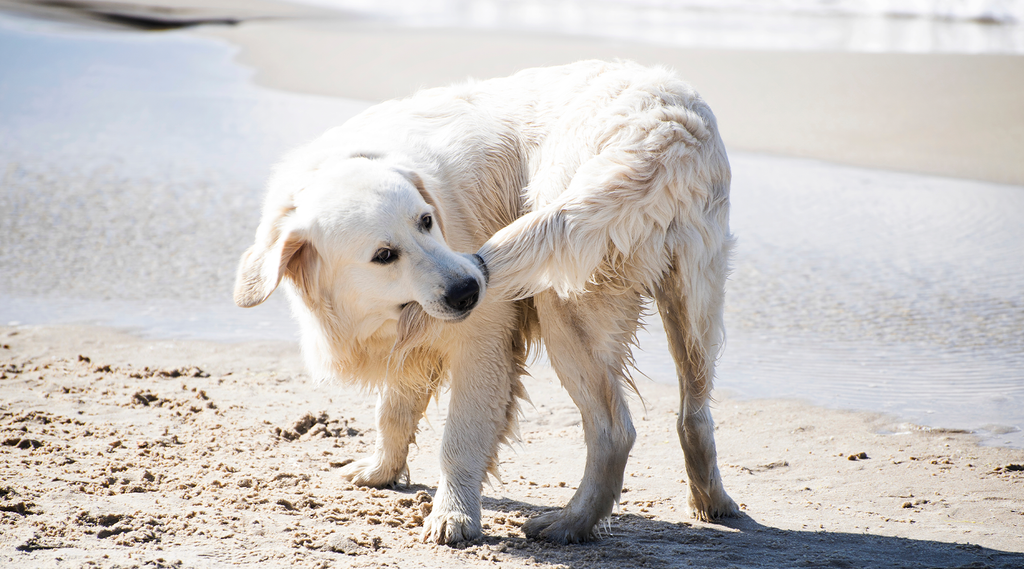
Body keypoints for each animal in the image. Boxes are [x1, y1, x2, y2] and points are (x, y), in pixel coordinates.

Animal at [236, 60, 741, 544]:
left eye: (426, 221)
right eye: (384, 255)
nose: (469, 289)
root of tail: (665, 130)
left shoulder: (483, 340)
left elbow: (459, 440)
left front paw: (453, 516)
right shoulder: (411, 342)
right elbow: (392, 412)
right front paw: (380, 471)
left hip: (564, 302)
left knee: (614, 431)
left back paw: (570, 524)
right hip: (692, 302)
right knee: (694, 415)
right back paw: (712, 503)